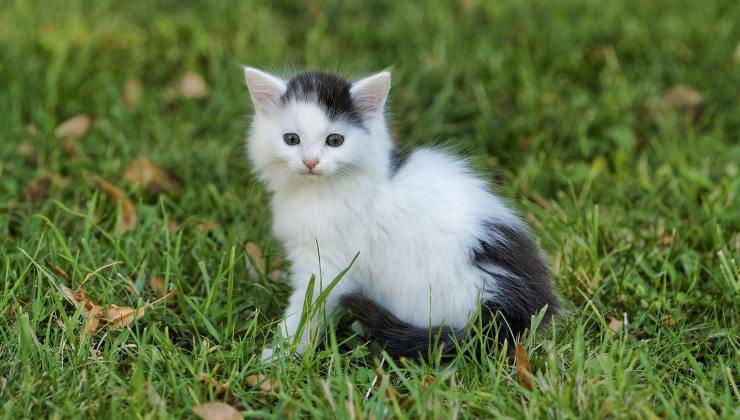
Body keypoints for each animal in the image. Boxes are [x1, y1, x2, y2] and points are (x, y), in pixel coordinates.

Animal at [246, 67, 556, 360]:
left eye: (334, 140)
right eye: (291, 139)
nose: (310, 161)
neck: (319, 192)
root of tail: (514, 306)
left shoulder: (329, 263)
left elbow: (308, 306)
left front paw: (281, 352)